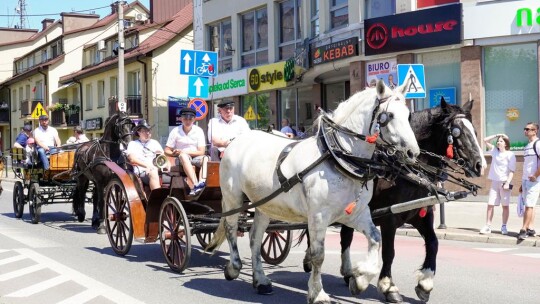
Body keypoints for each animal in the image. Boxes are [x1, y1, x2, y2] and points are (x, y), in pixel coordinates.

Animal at [207, 79, 422, 302]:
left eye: (408, 115)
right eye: (389, 116)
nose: (412, 153)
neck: (337, 157)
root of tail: (238, 139)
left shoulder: (357, 214)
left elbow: (375, 239)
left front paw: (359, 280)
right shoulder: (318, 216)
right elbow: (318, 256)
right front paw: (318, 293)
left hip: (265, 205)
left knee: (255, 238)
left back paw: (261, 281)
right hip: (233, 197)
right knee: (231, 228)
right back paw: (234, 267)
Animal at [304, 98, 486, 302]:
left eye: (474, 131)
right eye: (456, 132)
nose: (480, 165)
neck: (407, 172)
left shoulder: (421, 215)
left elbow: (433, 243)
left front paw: (425, 283)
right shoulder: (389, 219)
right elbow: (389, 252)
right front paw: (388, 286)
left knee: (345, 237)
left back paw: (347, 272)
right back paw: (311, 262)